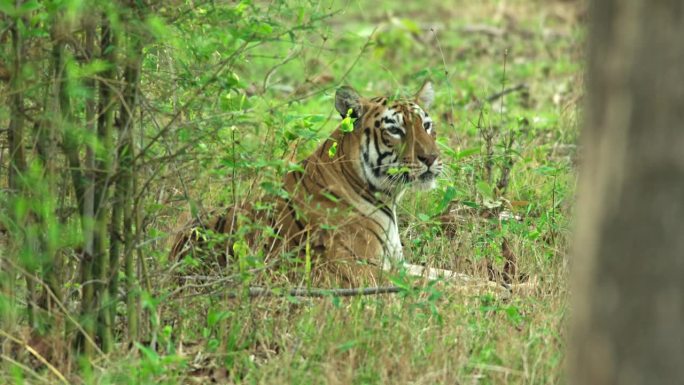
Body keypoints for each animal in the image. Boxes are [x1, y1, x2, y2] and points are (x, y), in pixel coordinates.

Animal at [170, 81, 476, 284]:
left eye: (426, 125)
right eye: (395, 130)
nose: (431, 157)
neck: (386, 196)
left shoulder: (396, 263)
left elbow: (450, 275)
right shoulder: (357, 270)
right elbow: (435, 286)